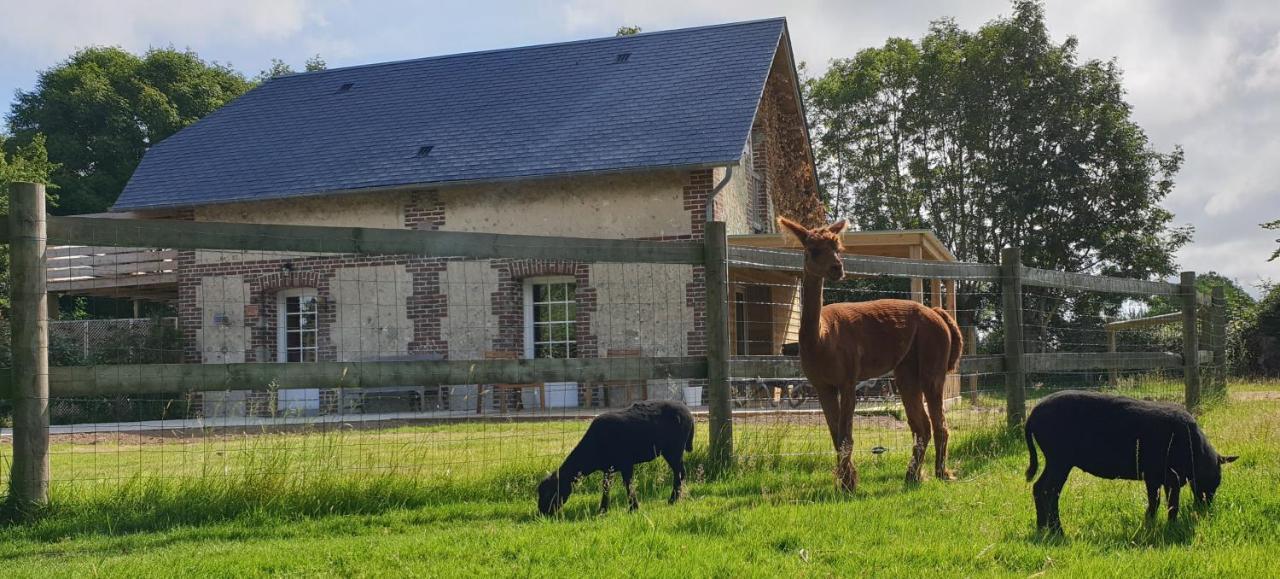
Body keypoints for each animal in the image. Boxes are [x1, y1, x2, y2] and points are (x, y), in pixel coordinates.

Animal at [535, 397, 696, 514]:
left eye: (550, 493)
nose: (543, 513)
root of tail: (689, 413)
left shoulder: (626, 463)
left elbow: (628, 485)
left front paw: (633, 508)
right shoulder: (609, 467)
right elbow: (606, 487)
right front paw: (603, 510)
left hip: (674, 449)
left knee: (680, 473)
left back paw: (673, 500)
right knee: (680, 473)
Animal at [1024, 389, 1233, 532]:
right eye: (1215, 480)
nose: (1204, 509)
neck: (1195, 452)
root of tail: (1032, 415)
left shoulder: (1158, 478)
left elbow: (1158, 502)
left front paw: (1151, 524)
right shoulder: (1164, 476)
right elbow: (1168, 503)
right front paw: (1168, 526)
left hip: (1055, 460)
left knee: (1040, 488)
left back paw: (1043, 528)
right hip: (1059, 459)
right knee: (1048, 491)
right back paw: (1057, 531)